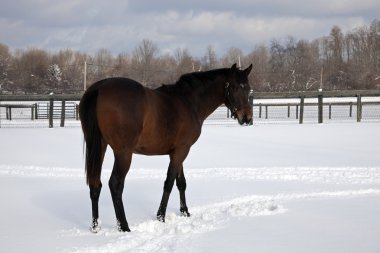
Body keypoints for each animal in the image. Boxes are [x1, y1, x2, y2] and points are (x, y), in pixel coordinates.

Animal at [79, 62, 254, 232]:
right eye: (235, 87)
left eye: (248, 88)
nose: (247, 118)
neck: (189, 101)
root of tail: (99, 88)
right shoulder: (182, 150)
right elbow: (169, 182)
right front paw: (161, 216)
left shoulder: (177, 151)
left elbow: (181, 182)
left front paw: (185, 212)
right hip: (124, 153)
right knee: (115, 184)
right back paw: (124, 226)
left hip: (99, 147)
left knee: (95, 184)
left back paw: (95, 226)